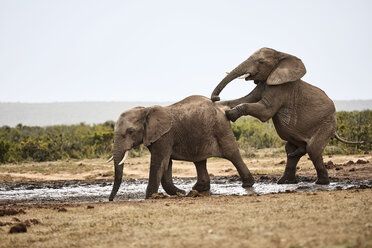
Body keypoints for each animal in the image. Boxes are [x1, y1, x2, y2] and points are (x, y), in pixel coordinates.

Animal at [107, 95, 253, 202]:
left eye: (130, 131)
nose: (110, 199)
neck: (146, 110)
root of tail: (221, 107)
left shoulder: (164, 136)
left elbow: (159, 163)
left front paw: (149, 197)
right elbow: (167, 163)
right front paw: (180, 192)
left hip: (221, 128)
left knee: (232, 153)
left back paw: (248, 184)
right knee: (199, 160)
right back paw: (197, 189)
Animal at [211, 47, 362, 185]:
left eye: (260, 61)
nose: (216, 97)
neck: (281, 55)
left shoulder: (281, 88)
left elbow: (264, 110)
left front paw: (229, 114)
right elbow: (245, 98)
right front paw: (220, 106)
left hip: (327, 125)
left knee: (313, 149)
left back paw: (321, 183)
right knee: (290, 149)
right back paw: (286, 180)